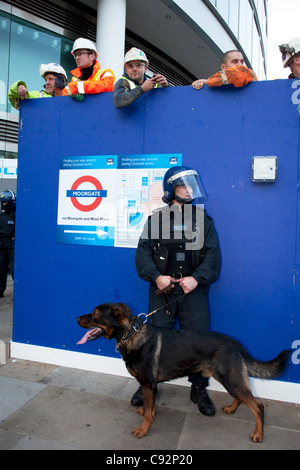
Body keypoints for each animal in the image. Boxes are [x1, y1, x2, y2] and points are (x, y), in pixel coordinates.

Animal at [77, 302, 290, 442]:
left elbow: (149, 414)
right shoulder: (148, 385)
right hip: (228, 378)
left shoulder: (149, 384)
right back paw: (231, 409)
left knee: (258, 406)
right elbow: (148, 406)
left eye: (94, 313)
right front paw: (145, 411)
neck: (130, 335)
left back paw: (258, 434)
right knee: (242, 397)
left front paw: (143, 430)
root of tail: (234, 342)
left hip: (230, 378)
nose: (77, 317)